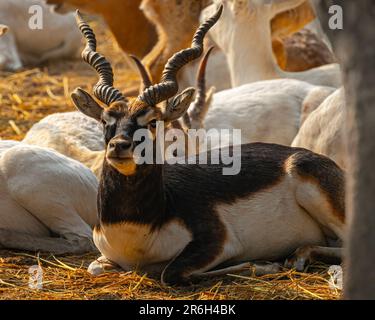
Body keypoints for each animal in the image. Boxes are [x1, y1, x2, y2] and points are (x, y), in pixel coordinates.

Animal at [72, 5, 346, 284]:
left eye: (152, 122)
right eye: (105, 120)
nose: (119, 146)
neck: (137, 225)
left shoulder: (219, 242)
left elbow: (171, 272)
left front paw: (264, 265)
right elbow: (94, 267)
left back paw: (298, 256)